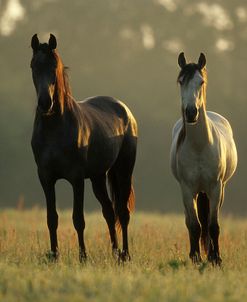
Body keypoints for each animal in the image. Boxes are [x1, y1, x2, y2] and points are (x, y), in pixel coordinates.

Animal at [30, 33, 138, 262]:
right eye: (33, 65)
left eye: (54, 66)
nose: (45, 103)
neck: (55, 128)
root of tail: (125, 110)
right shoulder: (46, 178)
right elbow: (51, 218)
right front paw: (55, 256)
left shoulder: (76, 179)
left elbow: (78, 219)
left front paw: (83, 256)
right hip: (98, 177)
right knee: (109, 211)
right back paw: (114, 253)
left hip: (123, 171)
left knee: (123, 213)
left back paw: (125, 254)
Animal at [170, 52, 237, 264]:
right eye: (181, 81)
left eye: (201, 82)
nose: (191, 112)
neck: (199, 147)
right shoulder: (187, 188)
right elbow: (194, 224)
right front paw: (196, 257)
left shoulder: (215, 187)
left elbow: (213, 225)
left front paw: (216, 258)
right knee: (191, 222)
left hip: (218, 190)